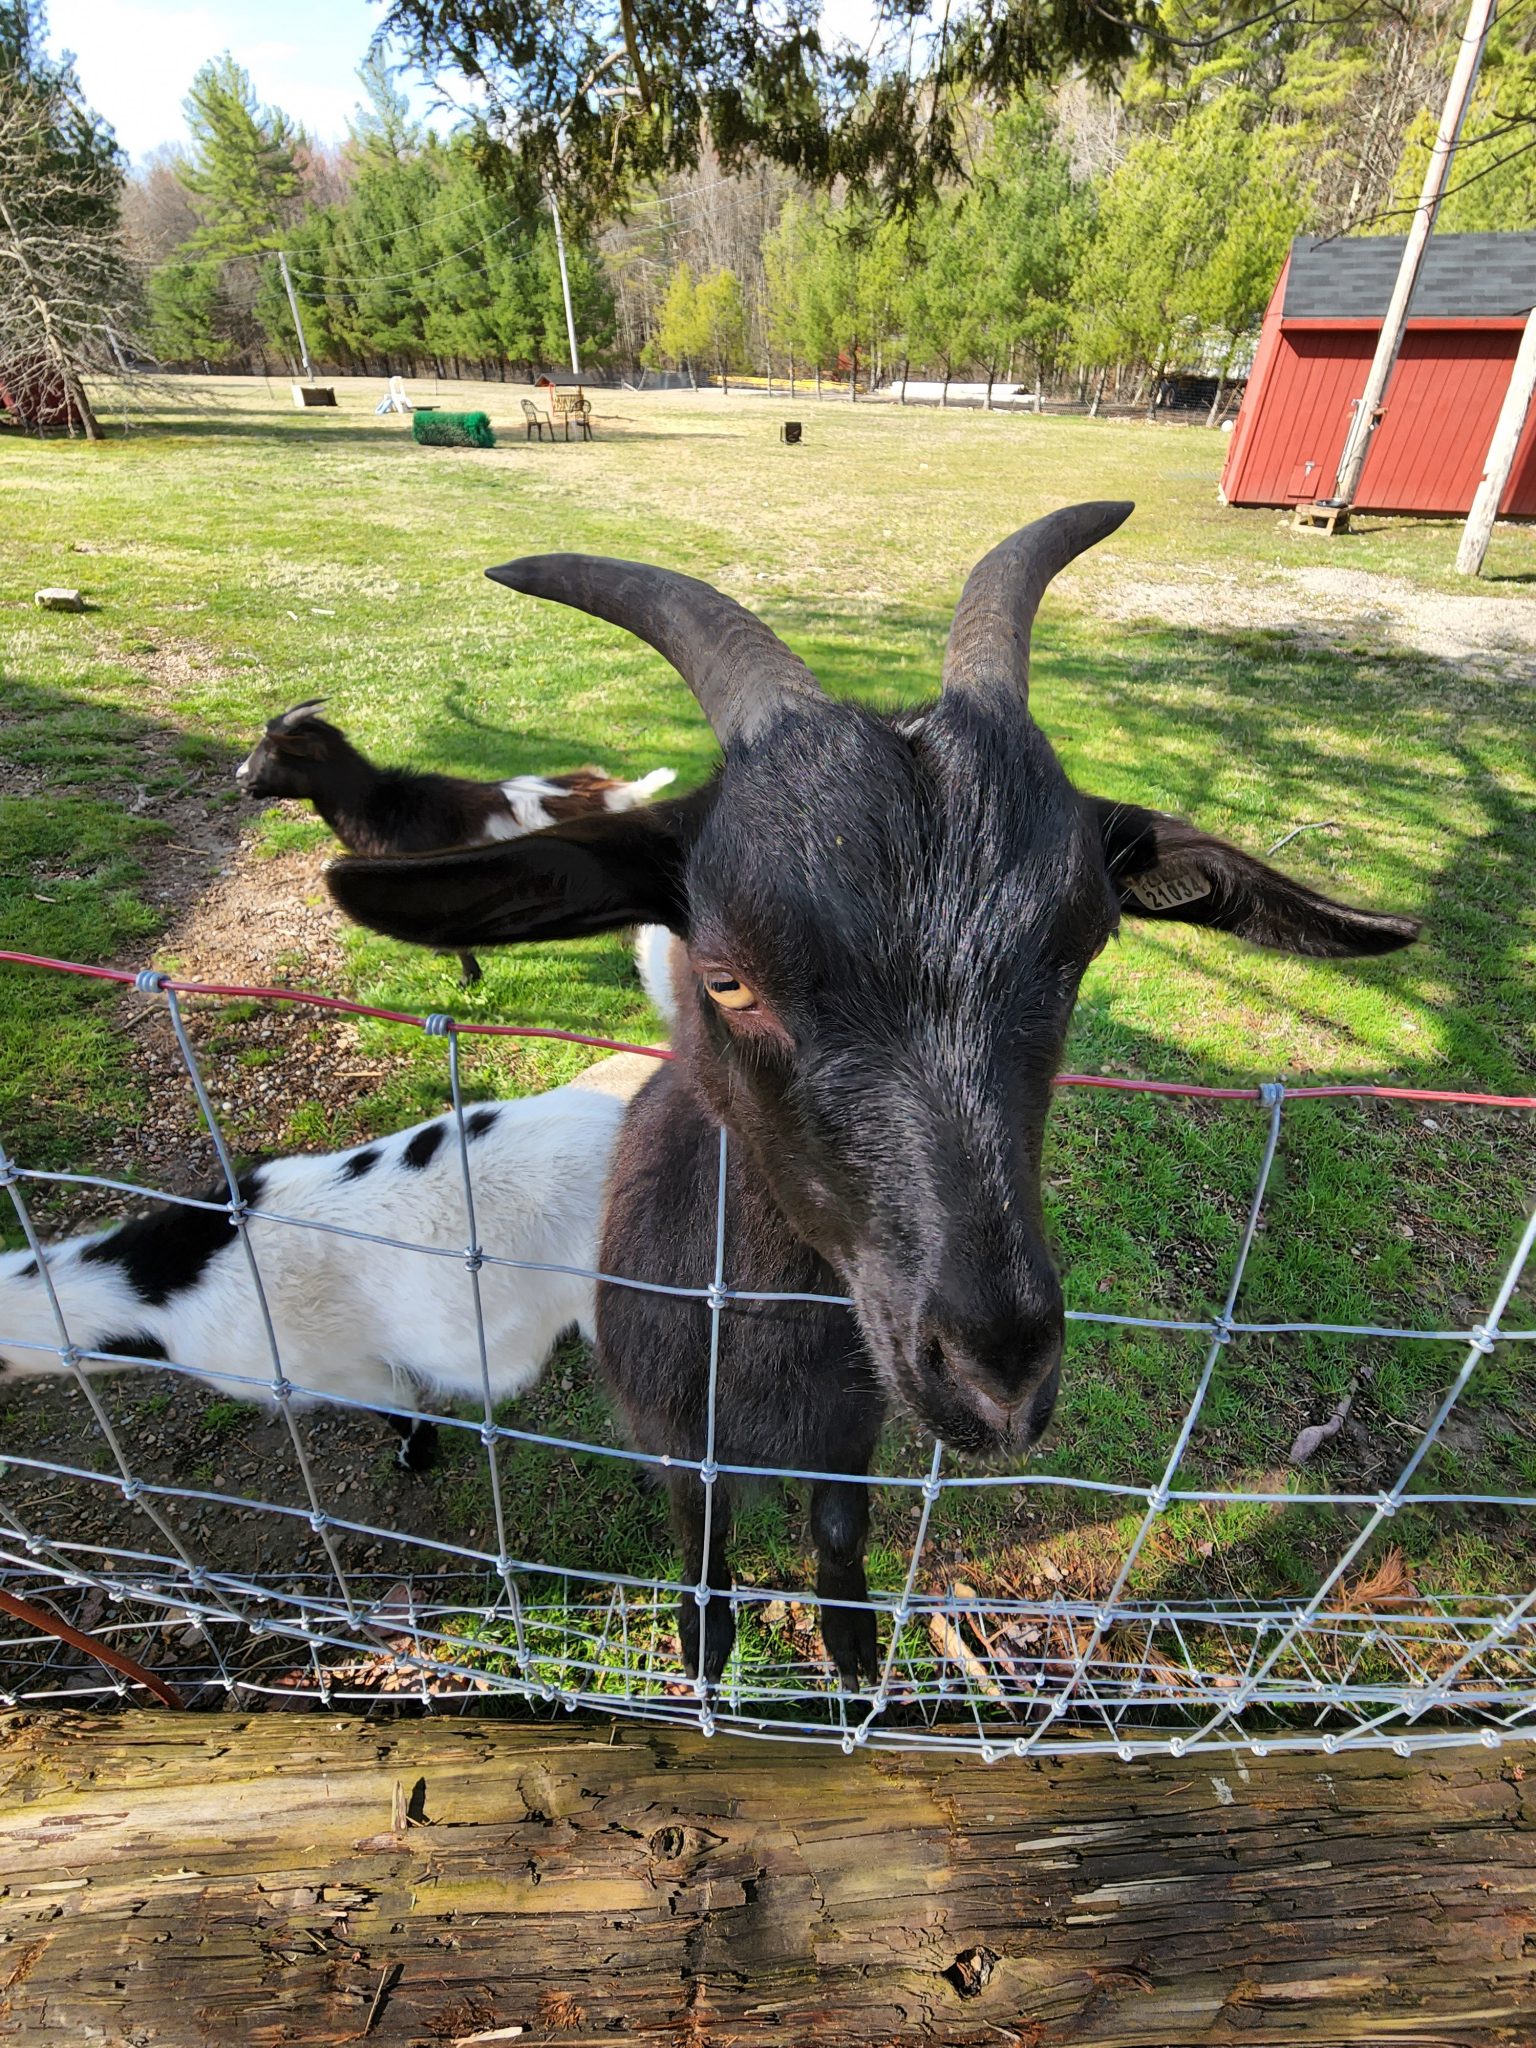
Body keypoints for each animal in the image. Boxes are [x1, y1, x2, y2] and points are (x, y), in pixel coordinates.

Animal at [331, 503, 1425, 1687]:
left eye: (1085, 946)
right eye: (727, 976)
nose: (1000, 1376)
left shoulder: (855, 1429)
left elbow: (841, 1530)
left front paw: (854, 1650)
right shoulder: (677, 1438)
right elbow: (700, 1540)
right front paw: (706, 1648)